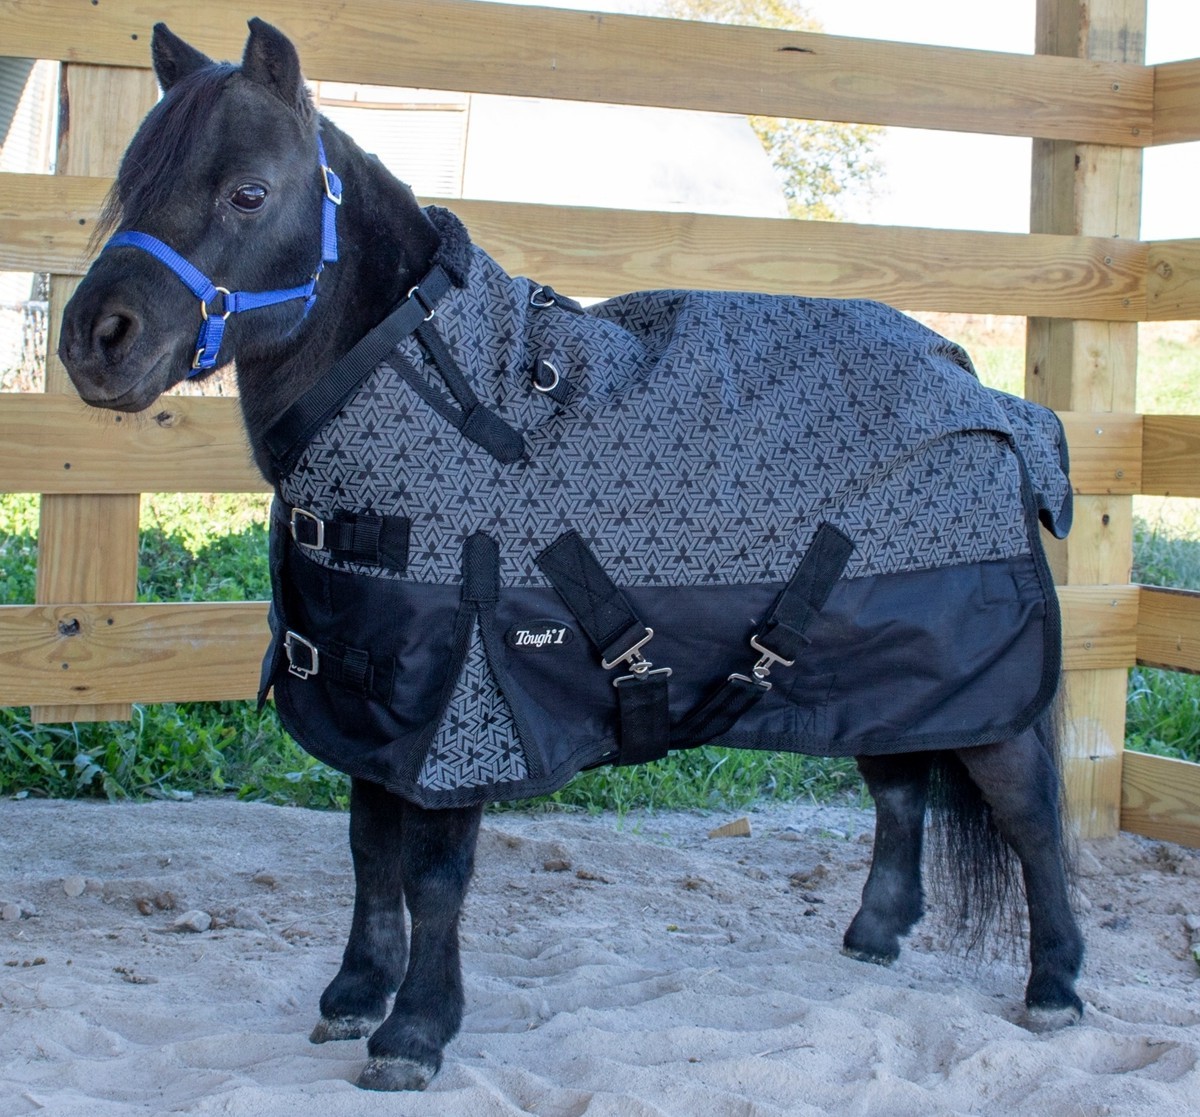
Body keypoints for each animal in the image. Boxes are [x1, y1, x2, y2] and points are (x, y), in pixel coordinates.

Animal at [58, 19, 1084, 1092]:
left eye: (248, 192)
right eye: (133, 182)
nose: (95, 339)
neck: (447, 397)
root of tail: (982, 389)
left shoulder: (461, 697)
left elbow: (433, 872)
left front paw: (414, 1032)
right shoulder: (370, 691)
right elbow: (369, 849)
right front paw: (353, 995)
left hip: (979, 678)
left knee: (1030, 814)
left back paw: (1054, 984)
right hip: (878, 667)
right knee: (897, 785)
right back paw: (875, 934)